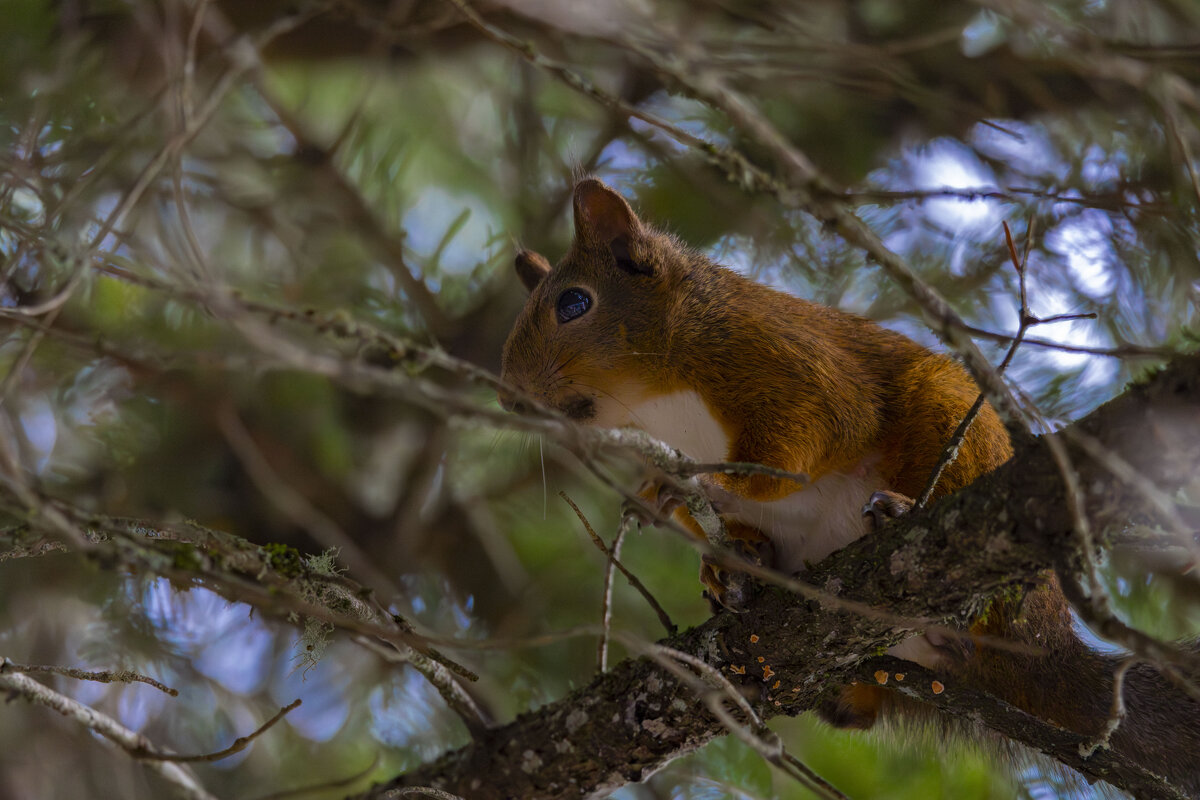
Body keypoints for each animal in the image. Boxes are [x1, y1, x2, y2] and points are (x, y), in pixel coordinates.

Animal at [499, 178, 1200, 794]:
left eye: (573, 304)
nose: (509, 399)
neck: (656, 405)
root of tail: (1047, 642)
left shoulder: (783, 361)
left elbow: (809, 439)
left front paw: (707, 481)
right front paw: (721, 554)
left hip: (952, 423)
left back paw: (903, 517)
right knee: (858, 714)